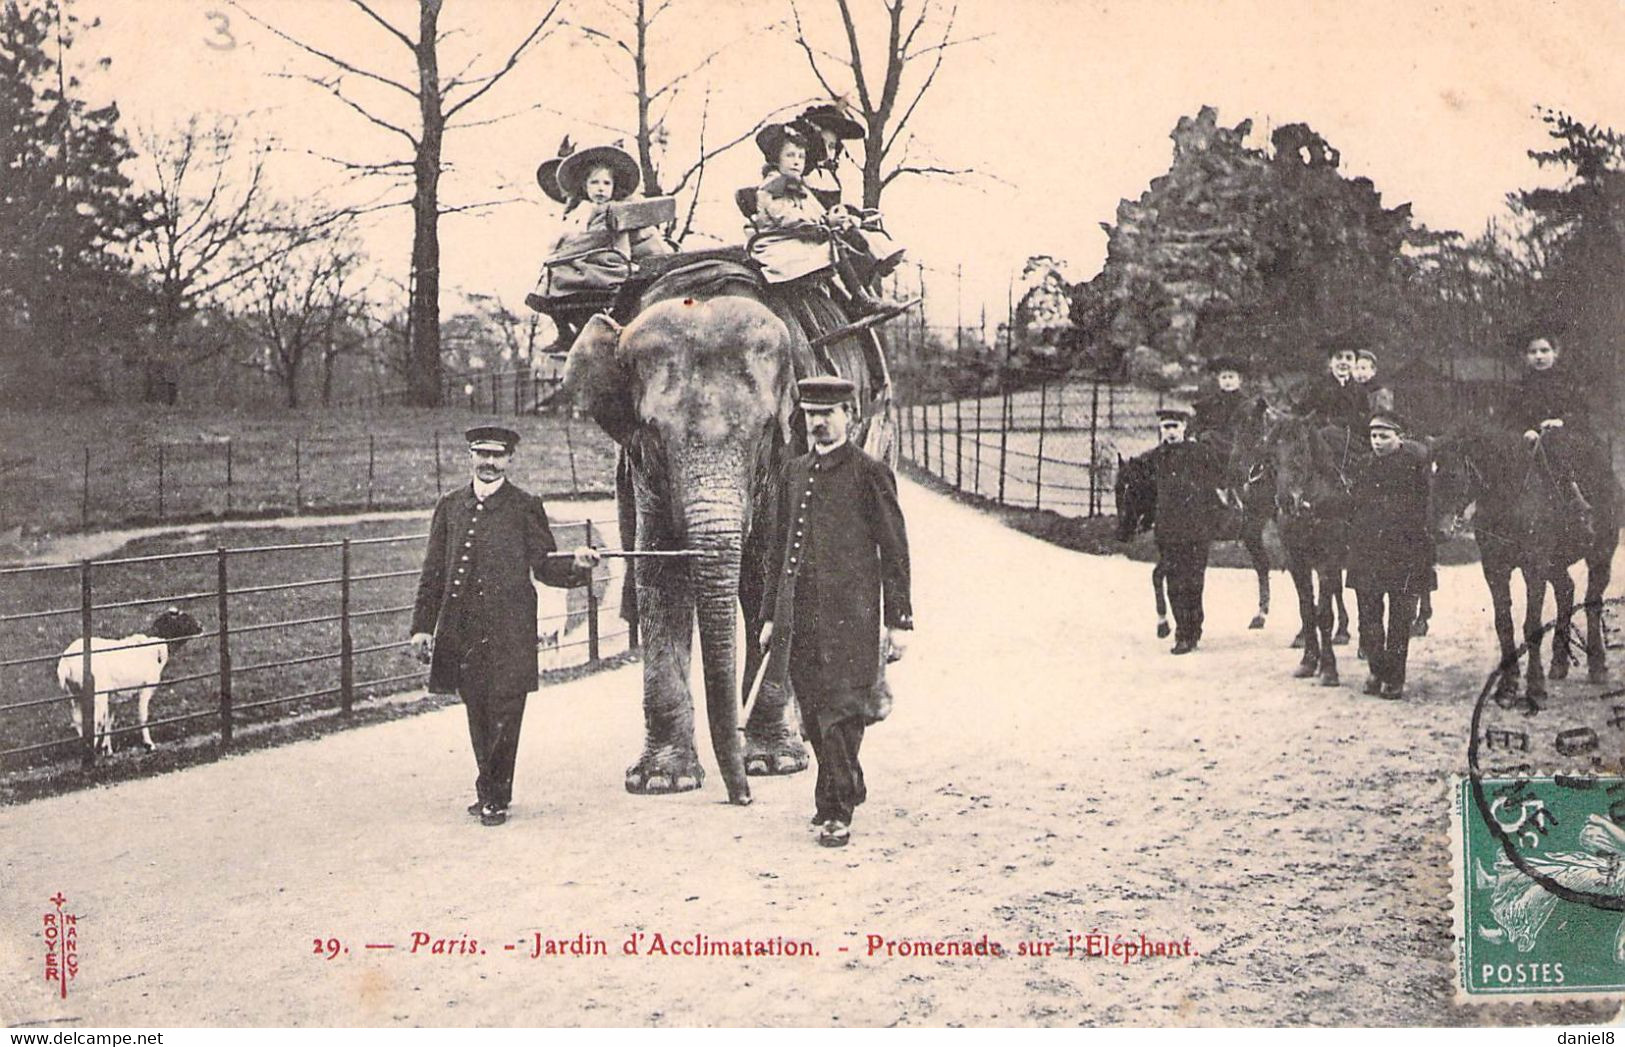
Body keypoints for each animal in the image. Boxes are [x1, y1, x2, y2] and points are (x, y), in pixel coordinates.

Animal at [58, 604, 203, 751]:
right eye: (183, 620)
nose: (200, 626)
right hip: (97, 695)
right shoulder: (146, 687)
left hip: (75, 694)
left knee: (79, 721)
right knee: (95, 723)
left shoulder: (113, 696)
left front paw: (107, 748)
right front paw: (149, 744)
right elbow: (142, 716)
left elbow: (109, 720)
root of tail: (66, 661)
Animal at [1261, 412, 1365, 692]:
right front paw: (1308, 661)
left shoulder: (1327, 559)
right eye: (1271, 454)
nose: (1287, 501)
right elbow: (1307, 609)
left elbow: (1323, 613)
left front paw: (1328, 669)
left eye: (1301, 451)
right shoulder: (1298, 561)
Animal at [1430, 419, 1618, 702]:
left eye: (1452, 474)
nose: (1437, 532)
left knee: (1592, 603)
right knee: (1565, 591)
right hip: (1555, 565)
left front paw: (1535, 686)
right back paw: (1558, 664)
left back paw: (1597, 667)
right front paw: (1508, 684)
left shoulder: (1534, 569)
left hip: (1600, 556)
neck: (1509, 496)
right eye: (1429, 475)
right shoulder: (1495, 569)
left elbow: (1531, 626)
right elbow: (1503, 624)